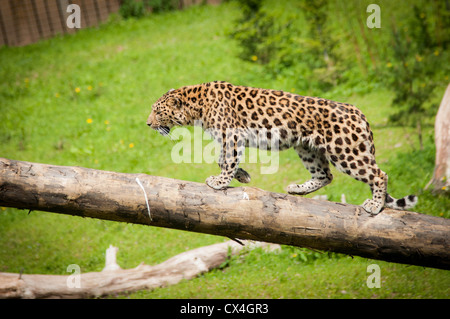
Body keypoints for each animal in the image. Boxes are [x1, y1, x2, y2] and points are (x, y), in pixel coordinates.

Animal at [149, 80, 418, 216]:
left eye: (158, 112)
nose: (148, 123)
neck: (196, 106)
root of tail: (358, 112)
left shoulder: (231, 135)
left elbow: (228, 160)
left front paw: (221, 181)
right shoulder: (227, 137)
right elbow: (222, 159)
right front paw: (242, 176)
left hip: (345, 151)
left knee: (379, 174)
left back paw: (375, 205)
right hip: (307, 148)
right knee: (325, 175)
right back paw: (296, 189)